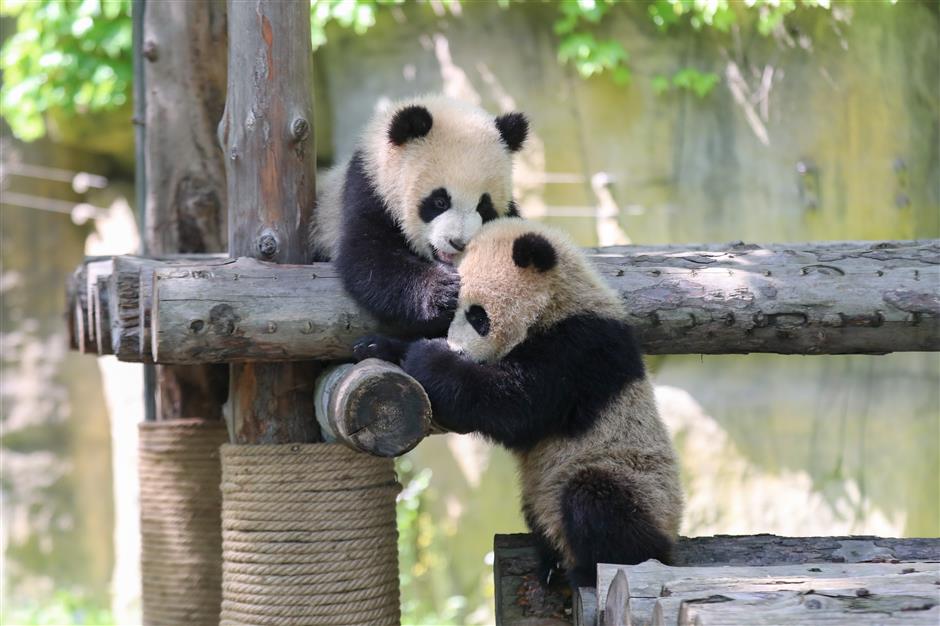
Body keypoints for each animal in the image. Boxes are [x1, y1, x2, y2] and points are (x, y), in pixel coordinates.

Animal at [309, 95, 529, 337]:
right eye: (440, 201)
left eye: (483, 206)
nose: (458, 243)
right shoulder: (370, 190)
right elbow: (367, 256)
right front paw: (442, 293)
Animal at [353, 218, 683, 588]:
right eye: (452, 311)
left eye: (478, 316)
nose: (459, 350)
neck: (560, 300)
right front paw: (377, 346)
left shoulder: (580, 349)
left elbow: (514, 406)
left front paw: (429, 356)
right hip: (541, 494)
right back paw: (552, 563)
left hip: (635, 481)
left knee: (597, 500)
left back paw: (588, 570)